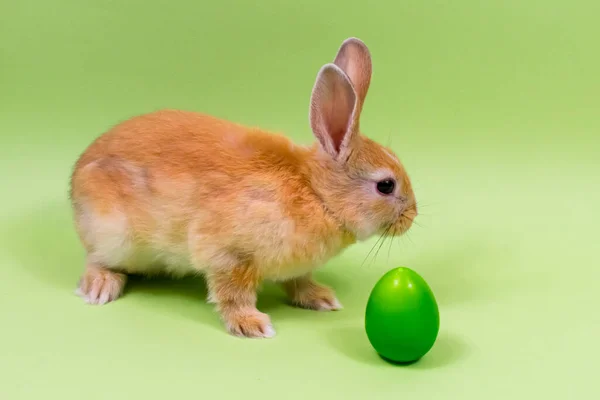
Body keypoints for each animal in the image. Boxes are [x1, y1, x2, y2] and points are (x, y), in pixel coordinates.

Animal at [69, 37, 418, 338]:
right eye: (386, 186)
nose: (412, 216)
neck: (316, 194)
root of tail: (76, 180)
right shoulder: (229, 255)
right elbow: (233, 294)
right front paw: (252, 325)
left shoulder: (293, 268)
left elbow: (299, 281)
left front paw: (321, 298)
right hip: (113, 235)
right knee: (95, 260)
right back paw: (100, 287)